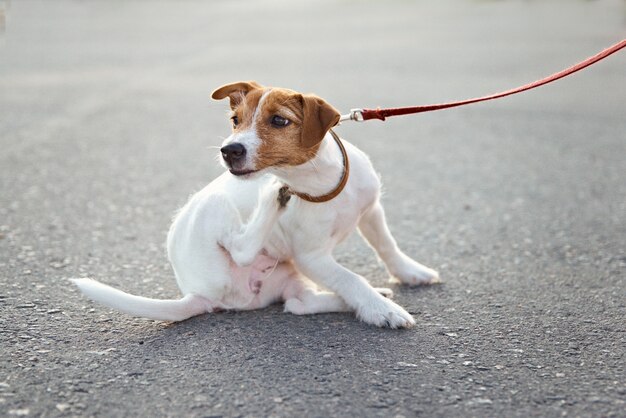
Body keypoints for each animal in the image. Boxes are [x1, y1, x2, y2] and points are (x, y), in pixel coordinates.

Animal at [70, 81, 436, 328]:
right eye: (235, 120)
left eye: (279, 121)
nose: (229, 150)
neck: (320, 185)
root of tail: (196, 292)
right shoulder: (312, 257)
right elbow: (351, 278)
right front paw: (381, 311)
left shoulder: (371, 211)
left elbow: (387, 246)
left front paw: (410, 274)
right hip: (213, 205)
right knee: (242, 247)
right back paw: (272, 197)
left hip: (288, 276)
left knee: (299, 304)